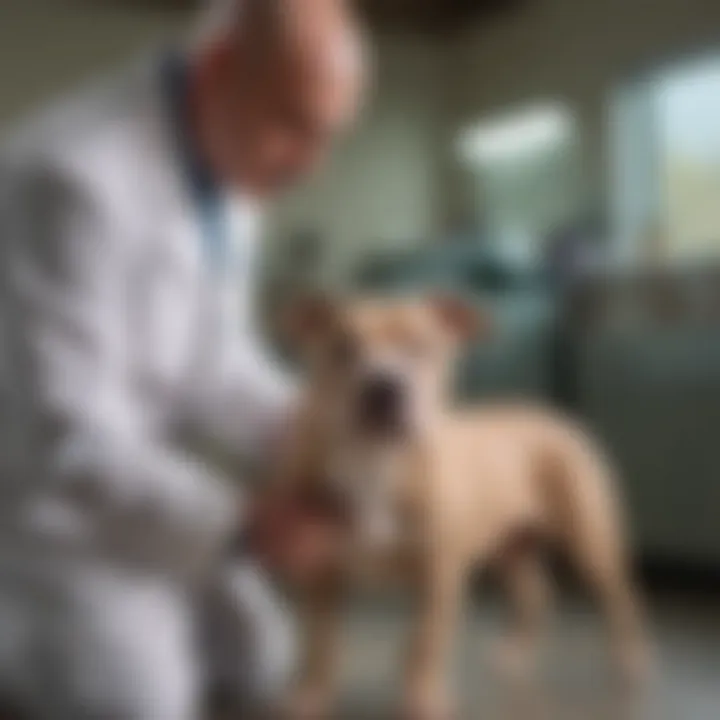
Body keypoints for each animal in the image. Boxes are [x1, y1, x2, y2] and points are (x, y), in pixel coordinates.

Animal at [276, 294, 648, 720]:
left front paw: (421, 700)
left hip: (589, 541)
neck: (376, 462)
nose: (384, 387)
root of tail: (551, 414)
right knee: (534, 593)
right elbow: (319, 644)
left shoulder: (438, 578)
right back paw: (516, 653)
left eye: (421, 347)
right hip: (510, 548)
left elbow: (424, 644)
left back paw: (631, 660)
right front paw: (310, 695)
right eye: (342, 347)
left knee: (620, 597)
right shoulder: (322, 576)